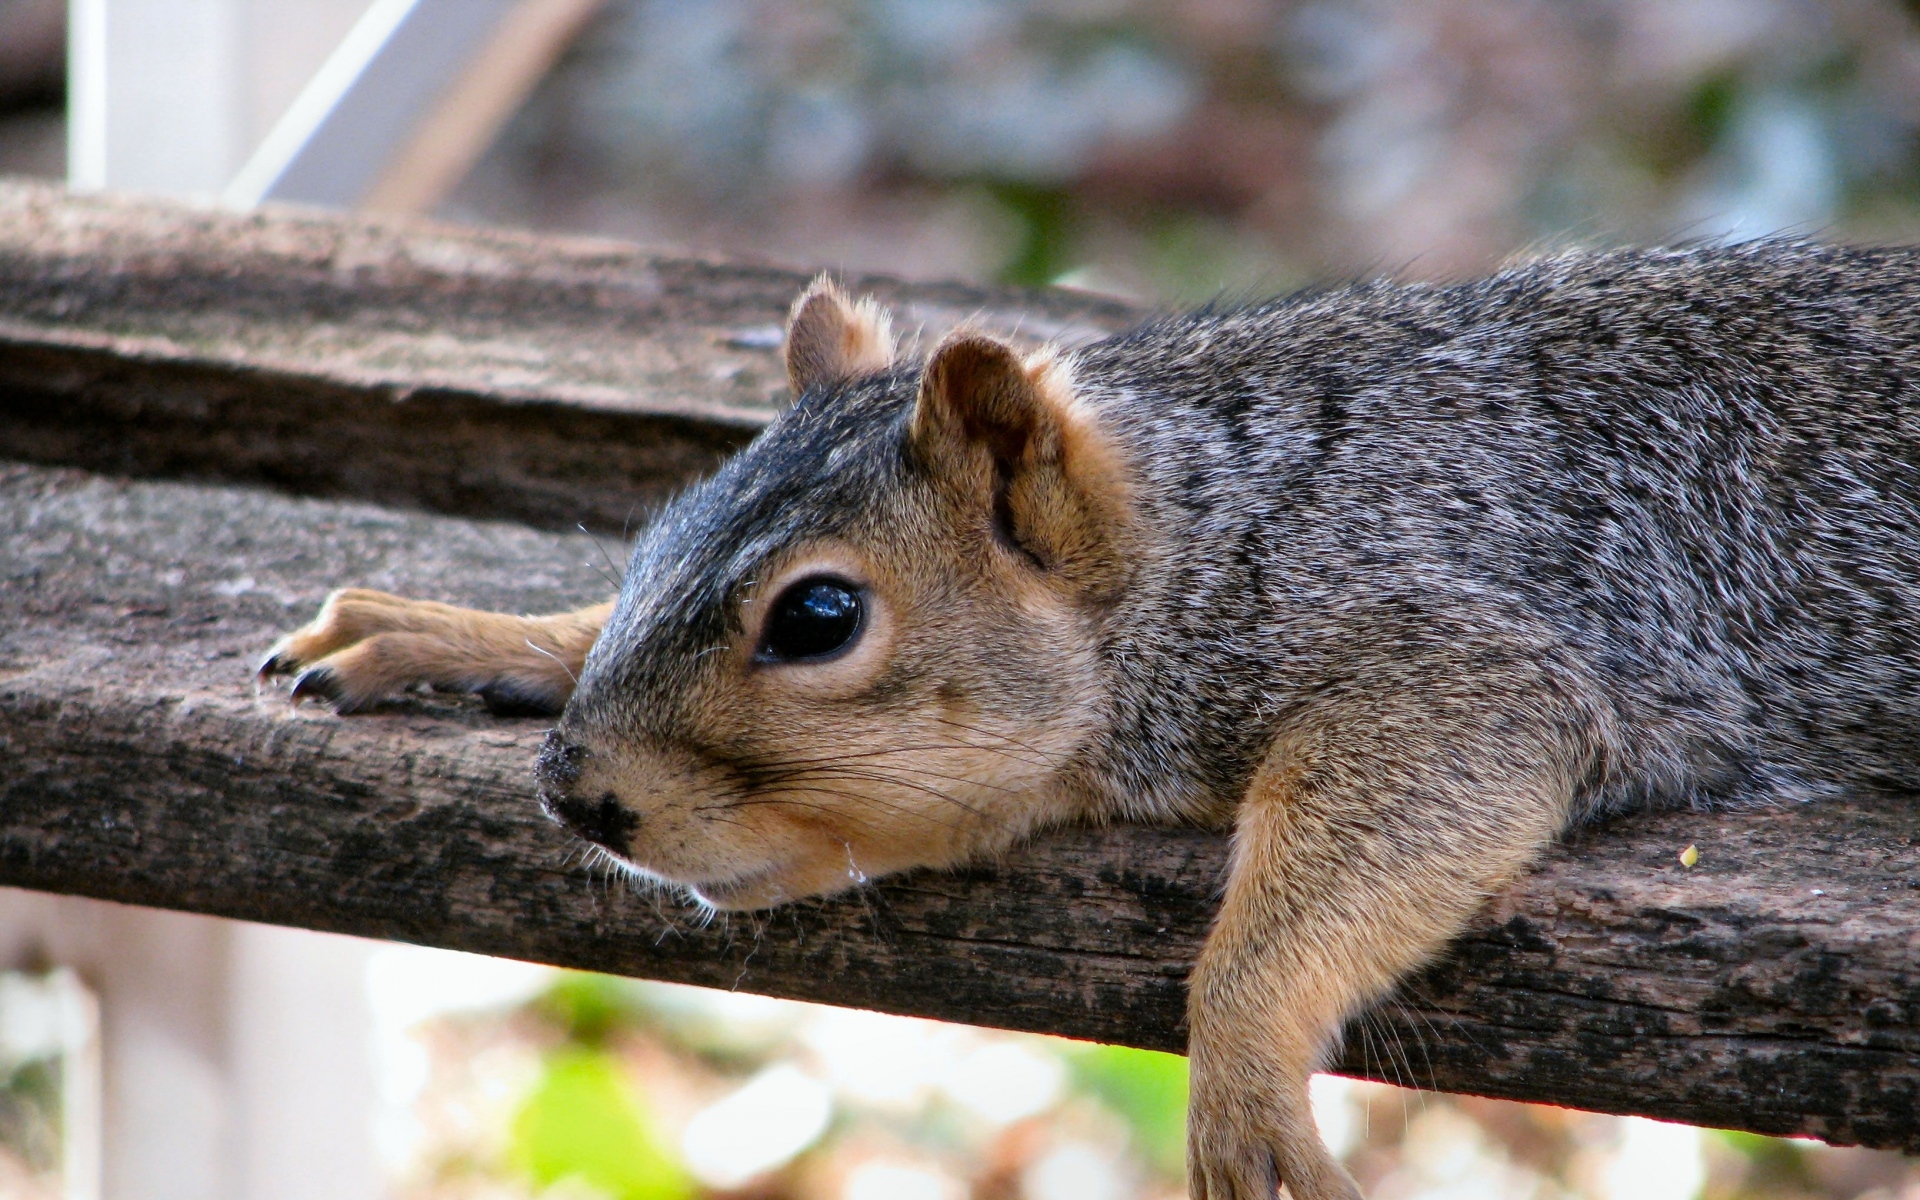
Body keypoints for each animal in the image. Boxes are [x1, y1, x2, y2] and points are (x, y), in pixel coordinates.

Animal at [263, 245, 1920, 1198]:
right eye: (652, 535)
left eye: (818, 619)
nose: (581, 796)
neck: (1217, 525)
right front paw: (460, 633)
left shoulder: (1478, 650)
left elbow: (1397, 811)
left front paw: (1243, 1070)